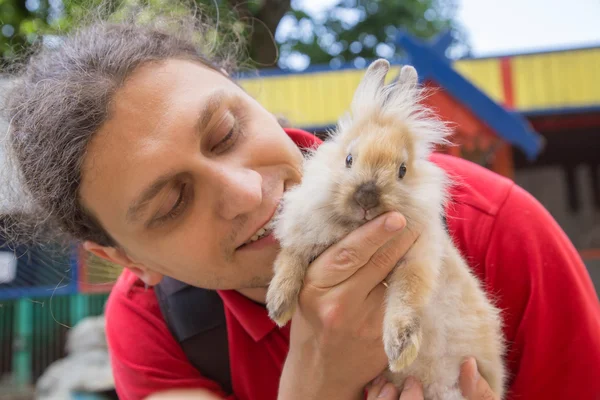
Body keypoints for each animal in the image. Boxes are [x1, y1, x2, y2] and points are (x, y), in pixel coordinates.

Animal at [268, 57, 506, 398]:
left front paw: (399, 350)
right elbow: (289, 262)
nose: (367, 198)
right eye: (349, 159)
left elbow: (405, 299)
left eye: (402, 170)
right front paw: (279, 307)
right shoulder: (303, 238)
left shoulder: (416, 262)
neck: (352, 227)